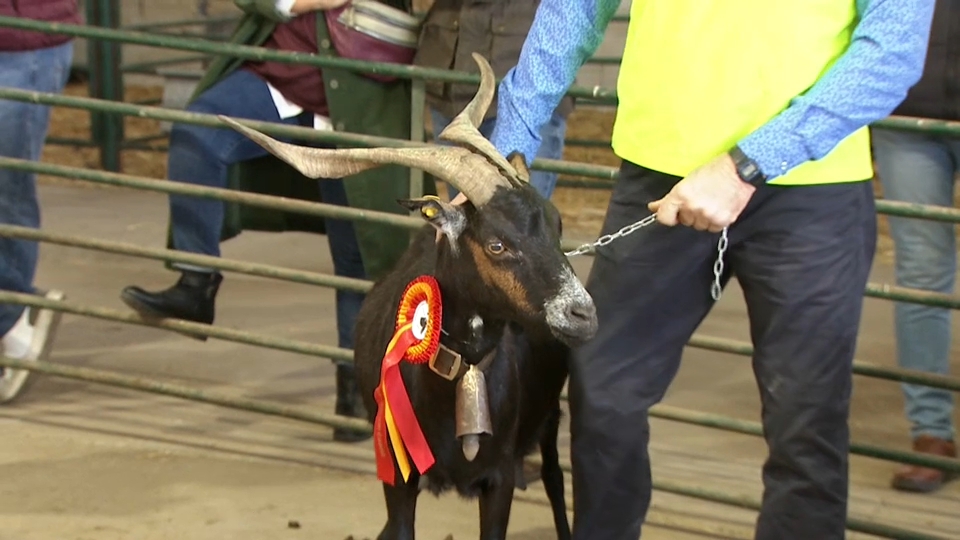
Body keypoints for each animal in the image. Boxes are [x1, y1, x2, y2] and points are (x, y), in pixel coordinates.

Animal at [219, 53, 600, 540]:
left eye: (557, 224)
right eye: (497, 244)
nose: (582, 314)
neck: (458, 379)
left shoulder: (500, 476)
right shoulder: (397, 473)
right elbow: (399, 528)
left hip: (548, 417)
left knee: (553, 476)